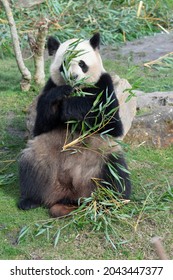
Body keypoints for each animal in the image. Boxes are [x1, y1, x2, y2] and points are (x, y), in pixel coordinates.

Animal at [18, 32, 131, 217]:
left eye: (82, 64)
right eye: (64, 64)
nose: (73, 77)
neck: (78, 89)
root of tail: (70, 195)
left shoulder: (104, 86)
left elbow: (111, 122)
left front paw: (72, 107)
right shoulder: (50, 86)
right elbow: (41, 124)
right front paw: (61, 96)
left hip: (100, 161)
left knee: (116, 173)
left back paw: (111, 201)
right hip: (44, 157)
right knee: (31, 166)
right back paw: (29, 200)